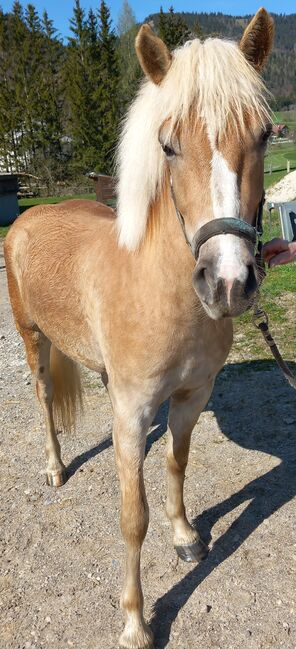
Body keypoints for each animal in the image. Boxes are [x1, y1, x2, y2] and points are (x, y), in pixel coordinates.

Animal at [4, 8, 272, 648]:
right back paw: (55, 467)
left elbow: (175, 464)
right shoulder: (130, 411)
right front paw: (134, 621)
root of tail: (28, 216)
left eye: (265, 135)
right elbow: (132, 518)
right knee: (44, 397)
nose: (228, 283)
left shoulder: (192, 395)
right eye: (168, 146)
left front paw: (186, 538)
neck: (163, 296)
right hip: (32, 338)